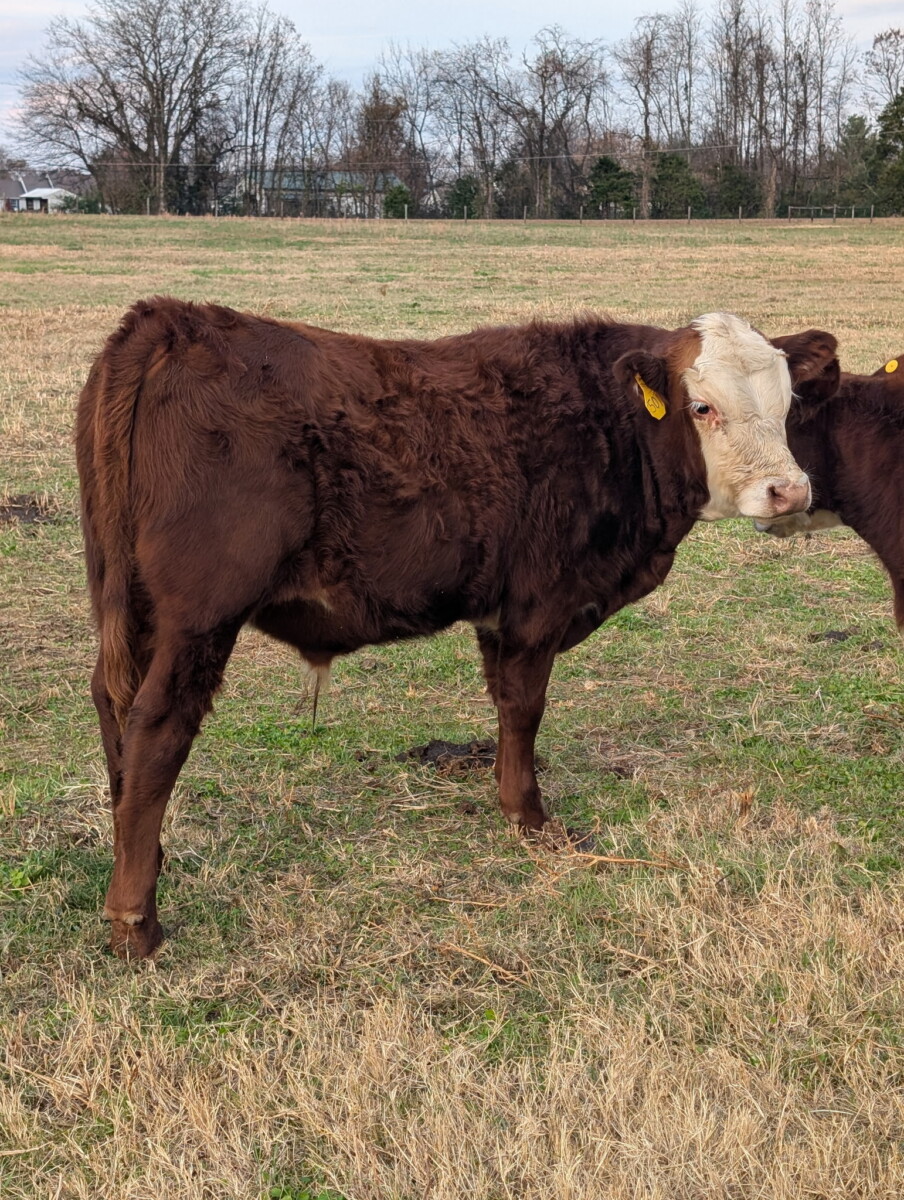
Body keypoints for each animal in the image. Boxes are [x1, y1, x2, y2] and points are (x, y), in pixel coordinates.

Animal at [76, 298, 837, 958]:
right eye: (703, 407)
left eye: (787, 404)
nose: (790, 491)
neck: (608, 427)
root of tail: (171, 320)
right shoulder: (541, 602)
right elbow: (525, 707)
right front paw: (532, 822)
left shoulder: (500, 611)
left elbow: (503, 704)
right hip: (199, 617)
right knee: (157, 728)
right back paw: (136, 921)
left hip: (131, 607)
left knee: (114, 708)